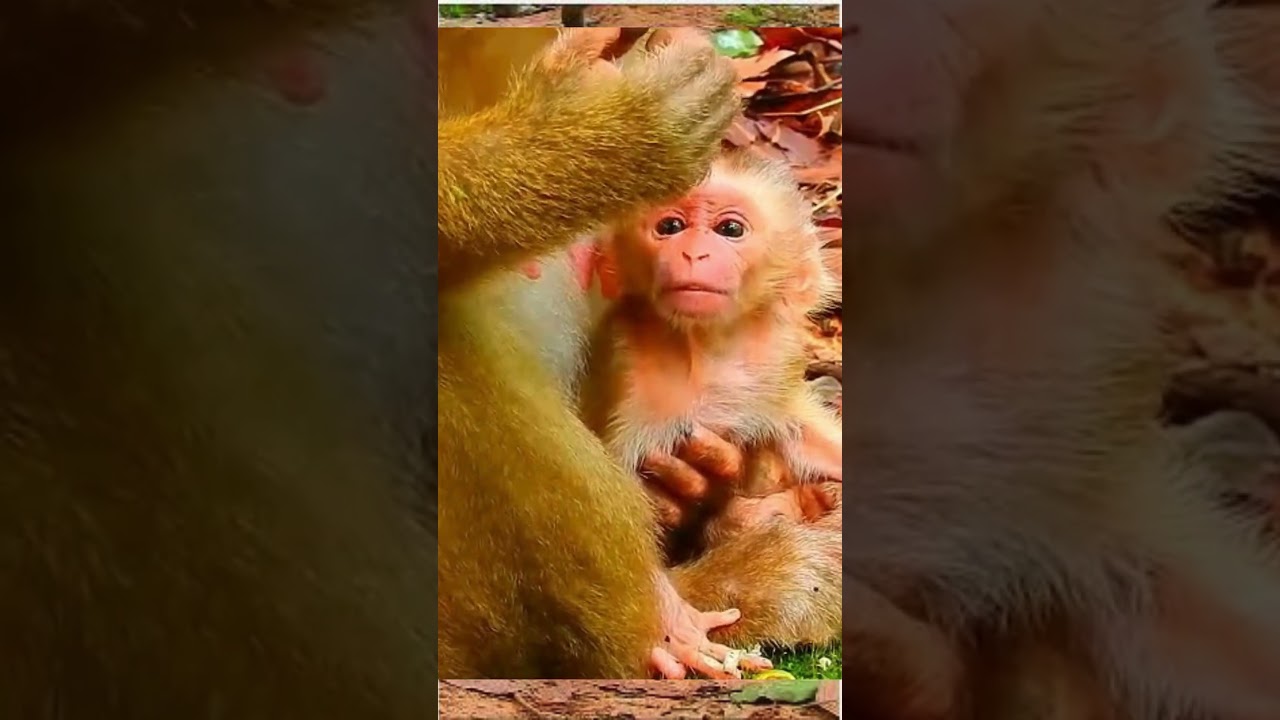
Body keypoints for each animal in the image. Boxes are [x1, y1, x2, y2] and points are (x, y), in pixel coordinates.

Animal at [575, 149, 843, 560]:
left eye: (730, 229)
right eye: (670, 226)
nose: (693, 253)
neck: (704, 355)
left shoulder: (773, 375)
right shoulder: (628, 374)